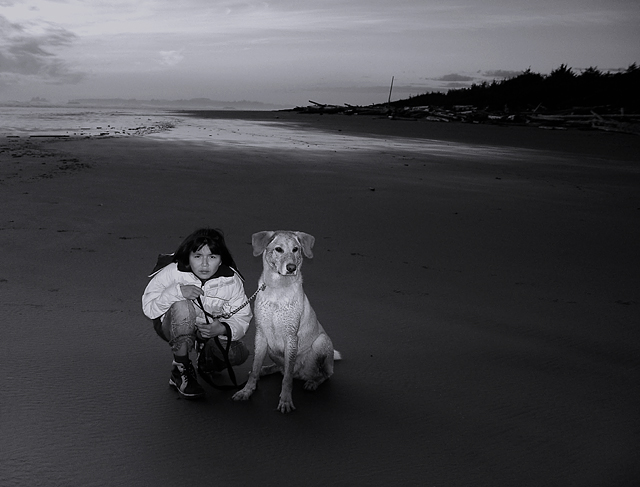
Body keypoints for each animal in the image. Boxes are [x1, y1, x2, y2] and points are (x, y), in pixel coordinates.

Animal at [234, 231, 342, 414]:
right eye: (278, 249)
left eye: (295, 249)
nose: (291, 268)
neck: (277, 288)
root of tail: (301, 373)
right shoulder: (261, 334)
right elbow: (255, 367)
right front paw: (247, 390)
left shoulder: (291, 337)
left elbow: (287, 379)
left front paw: (285, 400)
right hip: (272, 349)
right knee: (280, 369)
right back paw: (265, 370)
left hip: (321, 342)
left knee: (324, 374)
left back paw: (312, 382)